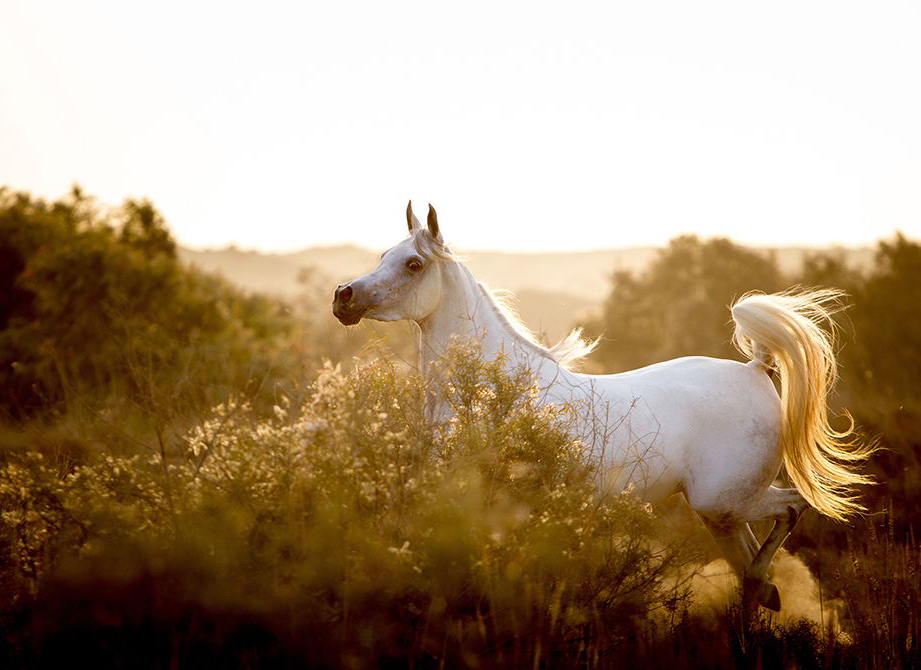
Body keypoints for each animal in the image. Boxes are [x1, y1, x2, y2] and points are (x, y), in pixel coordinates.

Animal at [331, 201, 873, 611]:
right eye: (384, 254)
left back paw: (767, 588)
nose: (343, 297)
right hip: (720, 514)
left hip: (725, 501)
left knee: (791, 509)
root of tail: (755, 370)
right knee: (748, 565)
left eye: (414, 264)